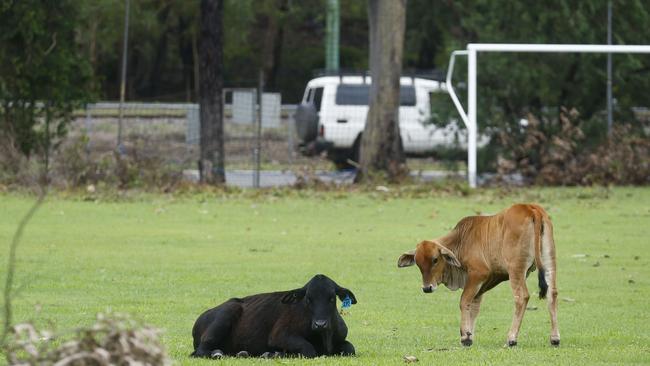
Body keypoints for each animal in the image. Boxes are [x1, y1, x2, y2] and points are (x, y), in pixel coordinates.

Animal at [190, 274, 356, 358]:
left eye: (332, 298)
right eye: (308, 299)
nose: (320, 324)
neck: (324, 338)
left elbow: (350, 348)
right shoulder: (279, 335)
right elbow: (308, 349)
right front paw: (275, 354)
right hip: (225, 315)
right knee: (200, 351)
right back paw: (217, 354)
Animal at [394, 204, 556, 348]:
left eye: (435, 259)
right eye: (417, 263)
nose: (427, 288)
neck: (462, 239)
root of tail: (531, 208)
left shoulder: (477, 274)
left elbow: (464, 301)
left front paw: (465, 336)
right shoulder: (481, 286)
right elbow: (474, 307)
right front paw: (469, 335)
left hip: (516, 270)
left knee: (522, 297)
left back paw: (512, 339)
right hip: (549, 261)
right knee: (552, 293)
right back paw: (555, 338)